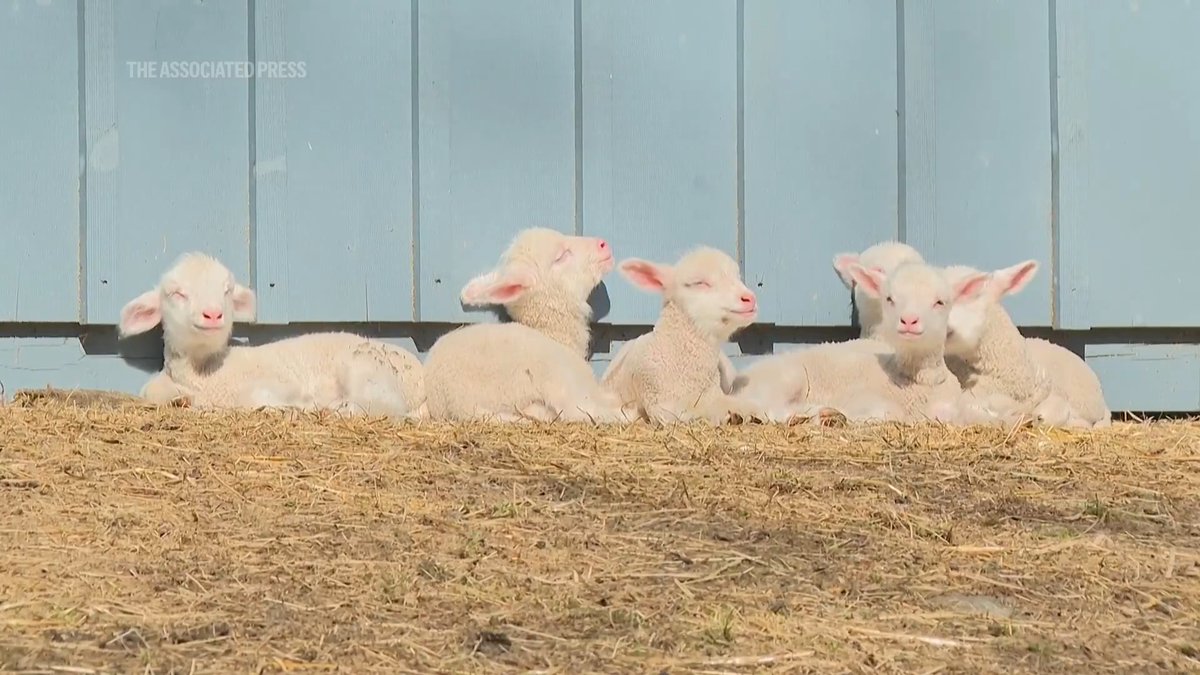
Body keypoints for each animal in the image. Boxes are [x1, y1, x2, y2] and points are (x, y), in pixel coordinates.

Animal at [118, 252, 425, 417]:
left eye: (227, 291)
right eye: (177, 294)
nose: (213, 314)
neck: (210, 373)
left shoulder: (279, 382)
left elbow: (259, 397)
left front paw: (296, 406)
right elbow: (152, 391)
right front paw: (179, 400)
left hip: (365, 368)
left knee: (384, 404)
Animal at [421, 227, 630, 423]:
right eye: (560, 257)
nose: (603, 244)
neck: (555, 336)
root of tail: (458, 404)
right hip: (552, 377)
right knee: (578, 410)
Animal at [732, 261, 992, 423]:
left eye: (940, 302)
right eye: (889, 299)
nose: (908, 320)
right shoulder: (860, 397)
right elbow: (889, 412)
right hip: (787, 377)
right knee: (766, 408)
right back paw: (816, 415)